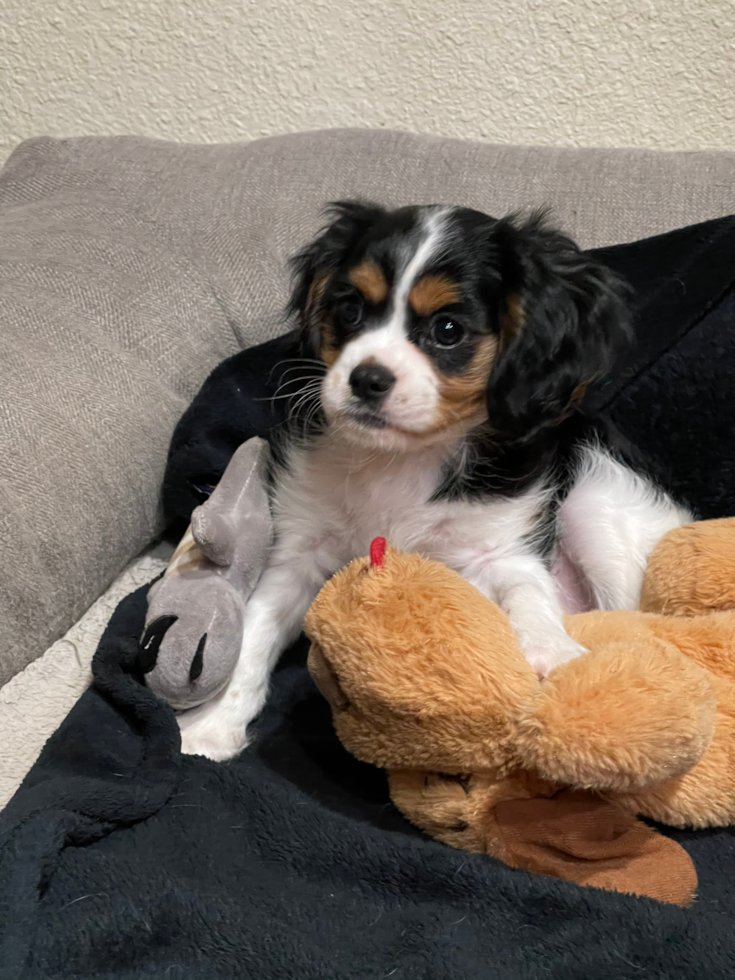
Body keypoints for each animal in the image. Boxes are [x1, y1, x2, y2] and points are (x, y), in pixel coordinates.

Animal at [178, 203, 688, 760]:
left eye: (447, 329)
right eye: (350, 309)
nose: (366, 378)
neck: (402, 457)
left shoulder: (503, 547)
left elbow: (529, 595)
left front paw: (554, 657)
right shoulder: (300, 548)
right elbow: (255, 630)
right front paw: (211, 726)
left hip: (596, 509)